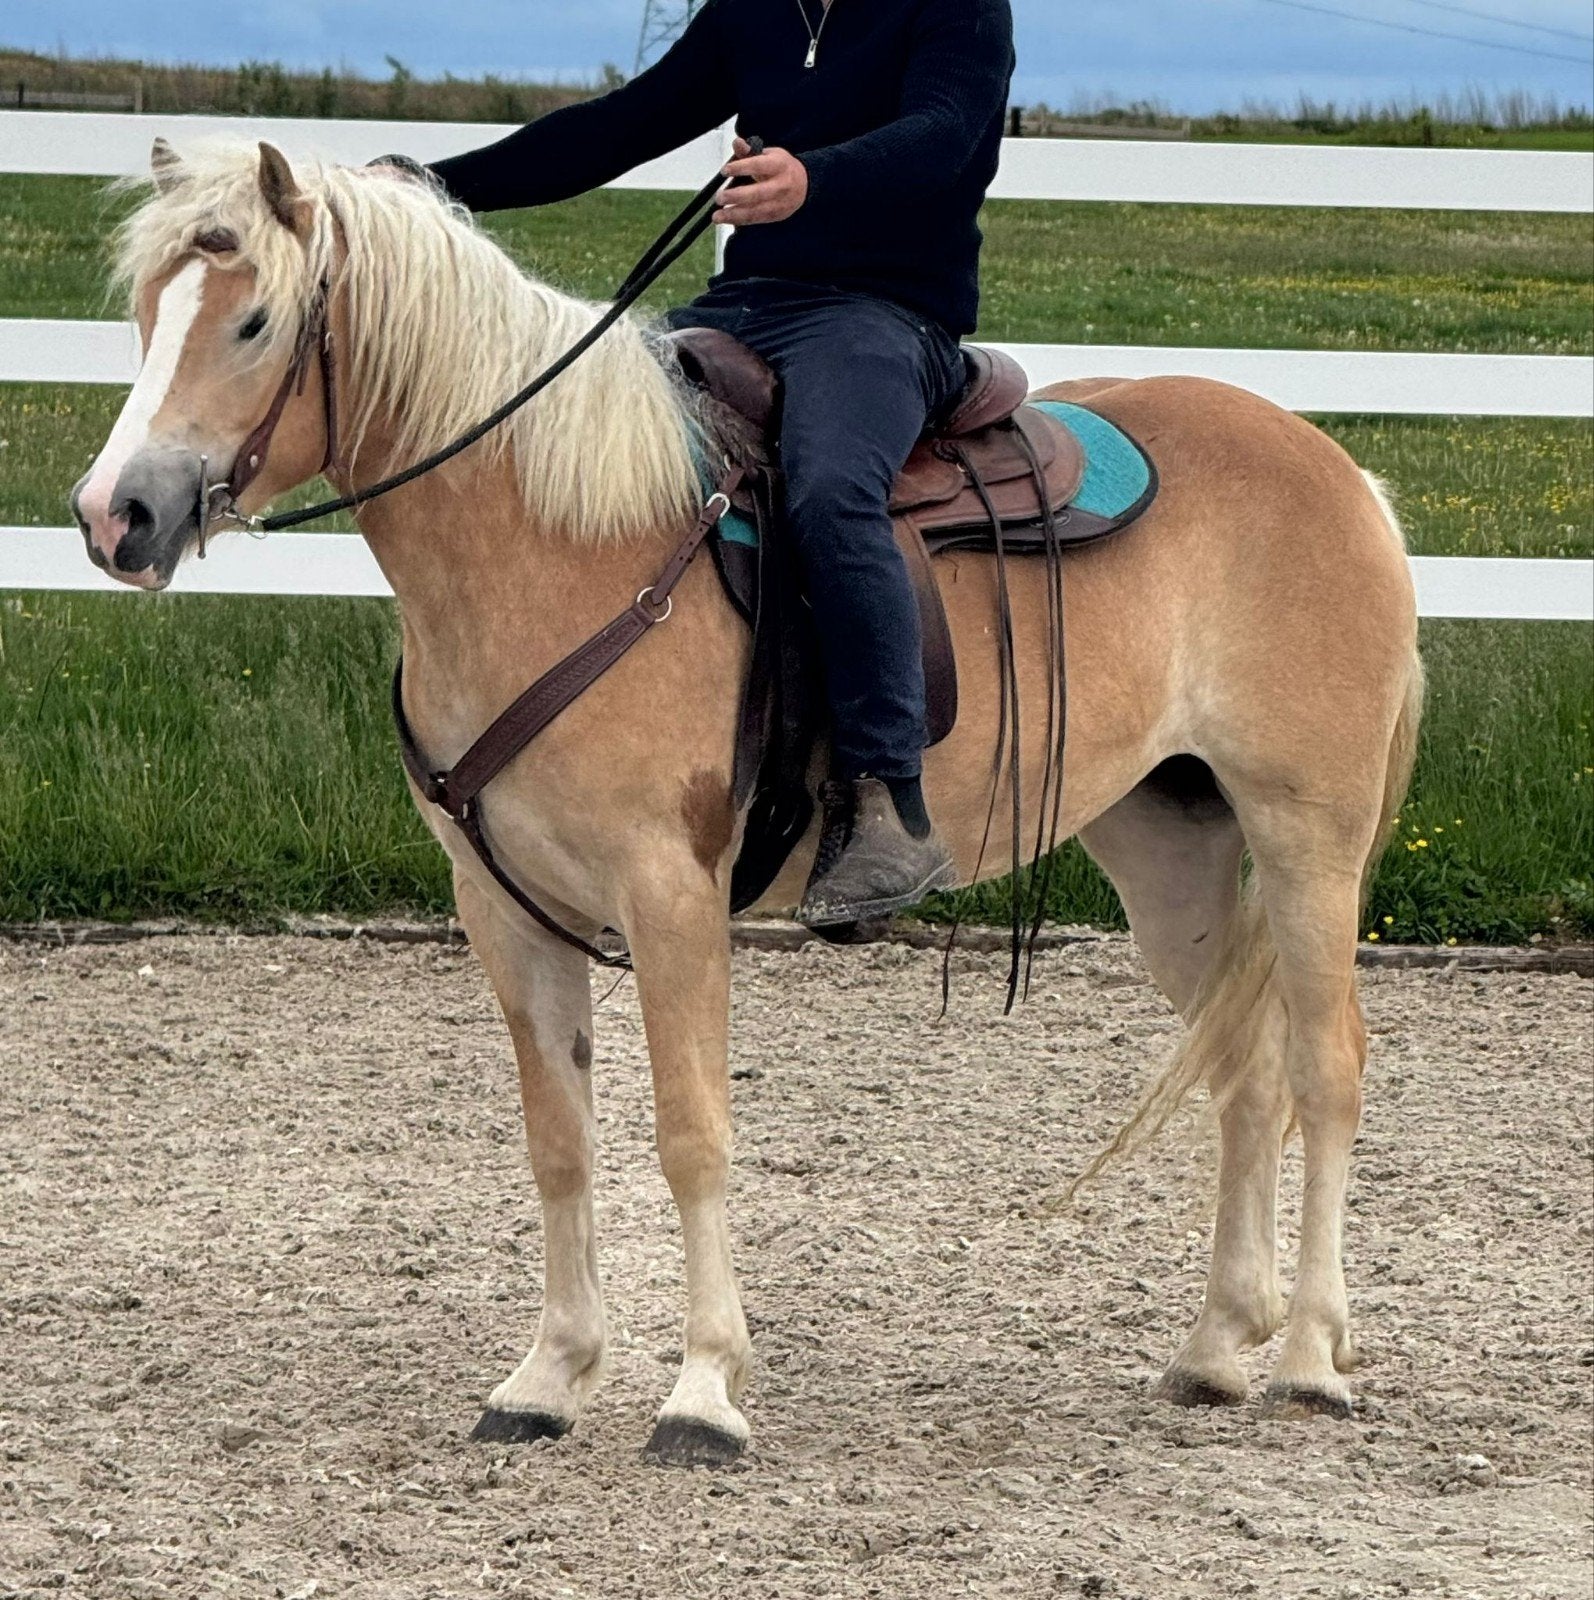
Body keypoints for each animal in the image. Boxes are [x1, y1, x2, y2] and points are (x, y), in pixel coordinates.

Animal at [69, 140, 1422, 1466]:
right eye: (145, 310)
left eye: (253, 321)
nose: (113, 515)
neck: (562, 544)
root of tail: (1339, 468)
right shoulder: (501, 908)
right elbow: (559, 1140)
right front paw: (547, 1376)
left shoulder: (670, 893)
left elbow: (690, 1133)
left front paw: (704, 1389)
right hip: (1166, 845)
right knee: (1243, 1071)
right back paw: (1215, 1347)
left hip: (1306, 837)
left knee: (1325, 1067)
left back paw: (1310, 1356)